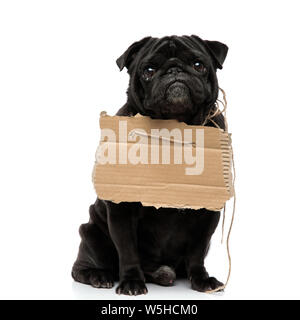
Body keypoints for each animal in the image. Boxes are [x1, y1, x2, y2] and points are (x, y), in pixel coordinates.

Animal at [72, 35, 227, 296]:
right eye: (149, 70)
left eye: (198, 65)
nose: (174, 69)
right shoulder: (122, 209)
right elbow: (127, 250)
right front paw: (131, 282)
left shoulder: (207, 212)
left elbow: (197, 251)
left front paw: (202, 279)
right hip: (91, 231)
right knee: (82, 266)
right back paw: (99, 275)